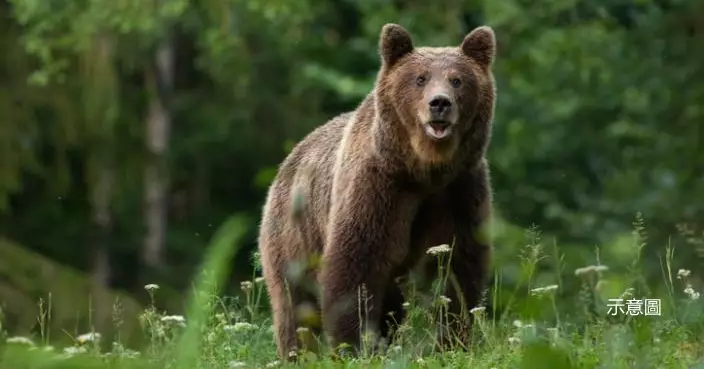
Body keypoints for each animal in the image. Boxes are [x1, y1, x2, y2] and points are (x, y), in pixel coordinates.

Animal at [258, 23, 496, 360]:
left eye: (457, 80)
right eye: (420, 78)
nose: (440, 103)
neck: (424, 170)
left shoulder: (459, 190)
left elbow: (458, 269)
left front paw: (452, 343)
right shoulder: (378, 188)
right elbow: (355, 266)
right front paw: (354, 346)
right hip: (293, 234)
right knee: (295, 304)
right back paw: (299, 354)